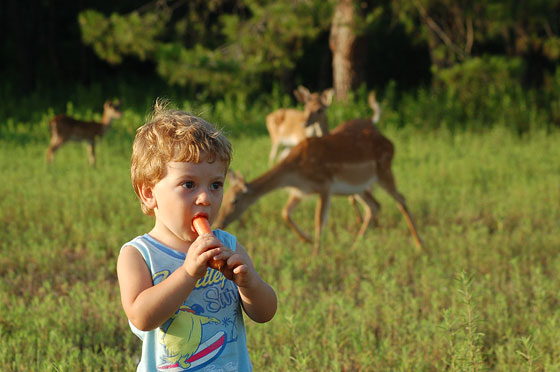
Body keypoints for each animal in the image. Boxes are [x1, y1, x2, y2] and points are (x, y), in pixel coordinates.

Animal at [217, 116, 422, 256]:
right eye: (224, 198)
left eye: (234, 200)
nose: (220, 222)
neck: (295, 172)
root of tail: (392, 144)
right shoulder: (300, 191)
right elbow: (285, 213)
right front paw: (306, 240)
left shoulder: (325, 185)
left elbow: (319, 220)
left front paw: (316, 253)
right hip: (360, 186)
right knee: (374, 206)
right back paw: (355, 246)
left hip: (384, 171)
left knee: (401, 199)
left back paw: (419, 244)